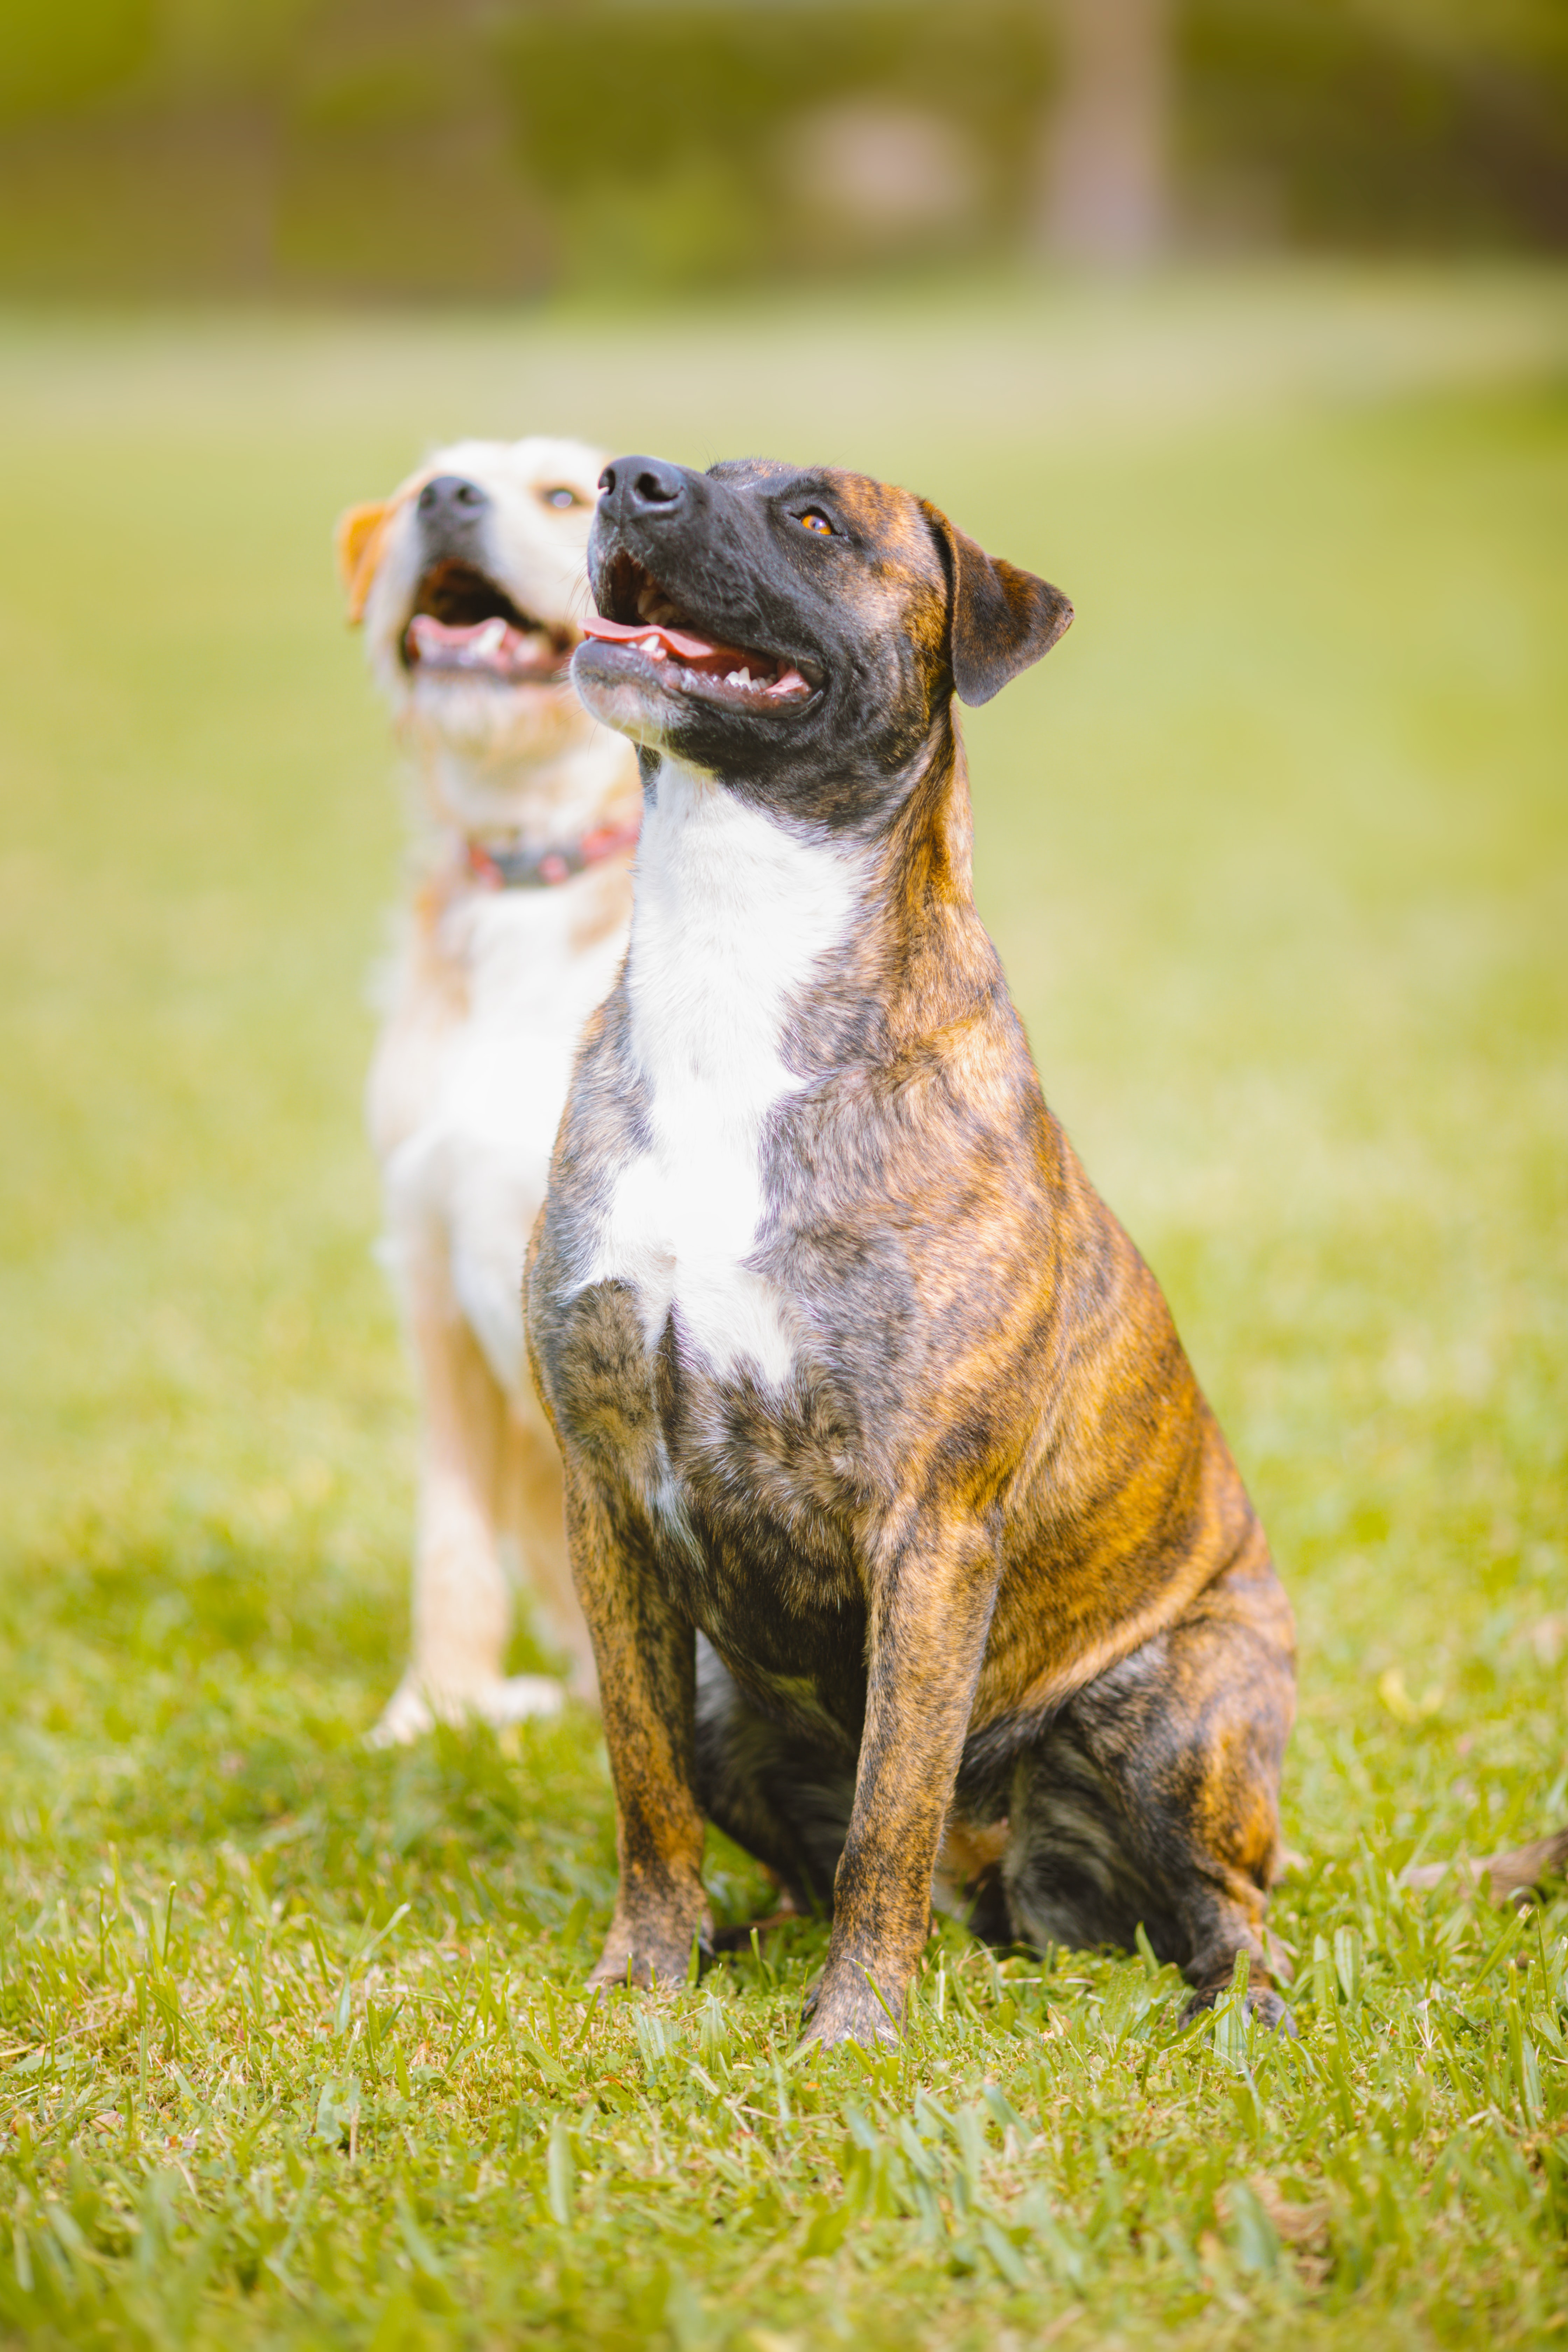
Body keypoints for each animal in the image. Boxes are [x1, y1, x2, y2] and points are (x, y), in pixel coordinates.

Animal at [526, 449, 1297, 2051]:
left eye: (817, 518)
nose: (630, 482)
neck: (733, 958)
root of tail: (996, 1883)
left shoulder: (931, 1533)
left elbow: (890, 1805)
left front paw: (853, 2033)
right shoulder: (608, 1499)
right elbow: (645, 1789)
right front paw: (645, 1980)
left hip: (1171, 1707)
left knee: (1223, 1900)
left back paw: (1234, 2010)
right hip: (728, 1691)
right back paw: (745, 1940)